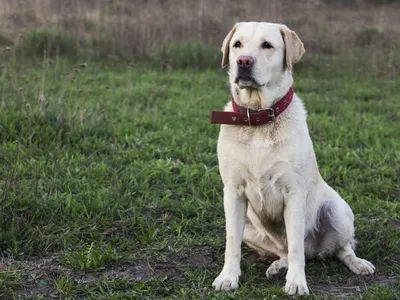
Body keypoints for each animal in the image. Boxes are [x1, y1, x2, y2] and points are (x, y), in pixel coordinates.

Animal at [212, 22, 376, 296]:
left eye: (267, 45)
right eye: (237, 45)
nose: (244, 61)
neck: (258, 119)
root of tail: (315, 251)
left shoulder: (294, 193)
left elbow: (297, 246)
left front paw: (297, 282)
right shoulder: (233, 192)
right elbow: (231, 243)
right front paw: (228, 277)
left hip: (337, 211)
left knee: (339, 249)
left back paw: (358, 264)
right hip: (250, 228)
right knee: (284, 250)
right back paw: (278, 266)